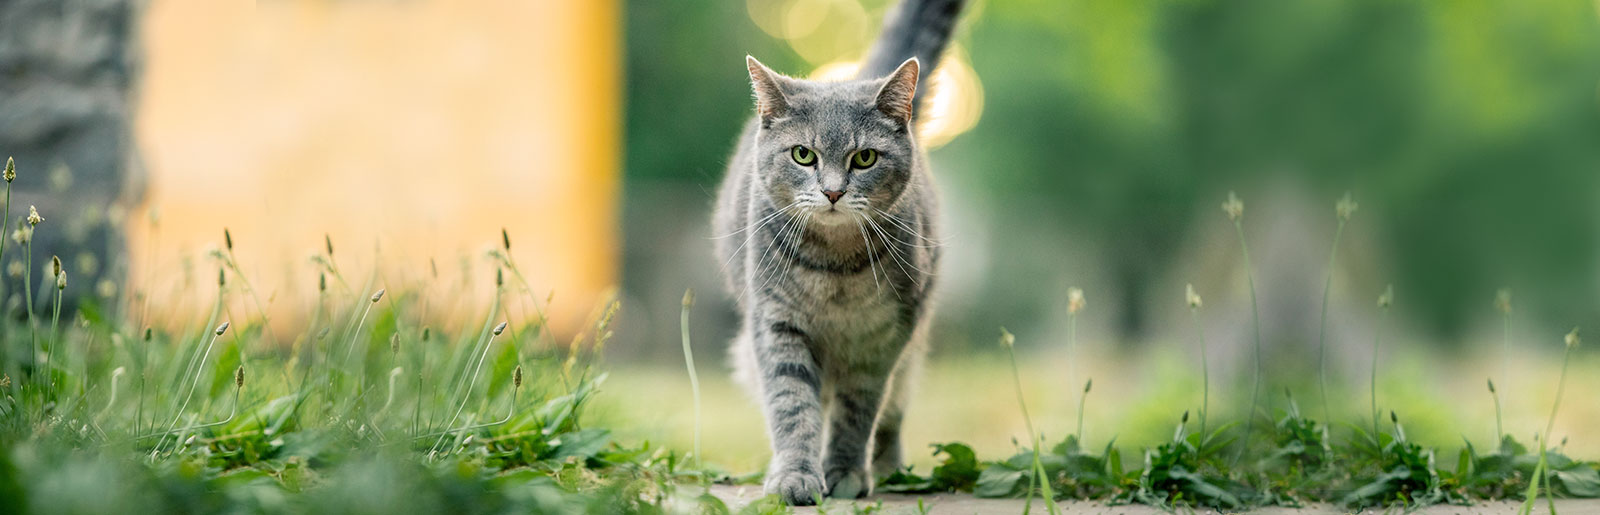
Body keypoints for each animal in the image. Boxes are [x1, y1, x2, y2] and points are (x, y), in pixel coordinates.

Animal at [720, 0, 966, 505]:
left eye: (865, 158)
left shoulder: (884, 338)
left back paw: (889, 469)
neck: (834, 270)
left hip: (911, 355)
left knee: (891, 413)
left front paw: (847, 472)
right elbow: (792, 404)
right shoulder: (776, 324)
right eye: (803, 155)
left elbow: (859, 411)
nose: (833, 192)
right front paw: (796, 475)